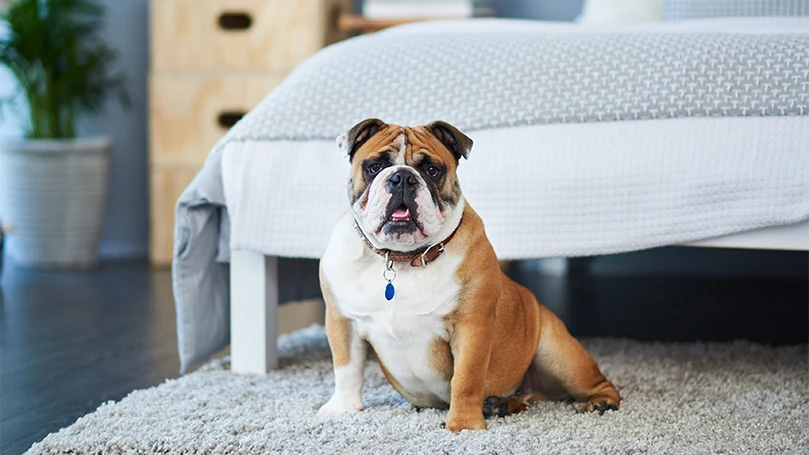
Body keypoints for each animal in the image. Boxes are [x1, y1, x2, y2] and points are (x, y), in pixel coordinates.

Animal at [316, 119, 620, 432]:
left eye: (432, 170)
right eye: (374, 166)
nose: (402, 177)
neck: (402, 258)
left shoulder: (471, 326)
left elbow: (466, 379)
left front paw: (463, 426)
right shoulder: (342, 321)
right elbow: (346, 368)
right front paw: (342, 408)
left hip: (558, 352)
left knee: (598, 383)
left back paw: (601, 402)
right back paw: (500, 404)